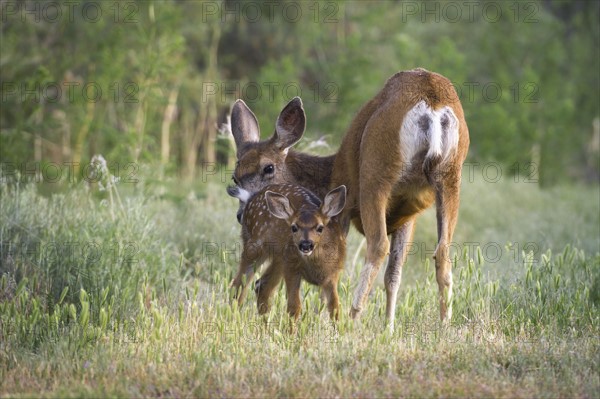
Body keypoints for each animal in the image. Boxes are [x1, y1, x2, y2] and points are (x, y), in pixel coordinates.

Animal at [230, 69, 468, 332]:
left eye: (268, 168)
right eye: (235, 176)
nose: (243, 214)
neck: (327, 175)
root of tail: (433, 105)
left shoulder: (340, 208)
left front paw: (321, 319)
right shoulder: (408, 216)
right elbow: (394, 274)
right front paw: (388, 328)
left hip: (376, 172)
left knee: (378, 245)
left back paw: (353, 318)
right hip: (450, 176)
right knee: (442, 250)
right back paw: (444, 324)